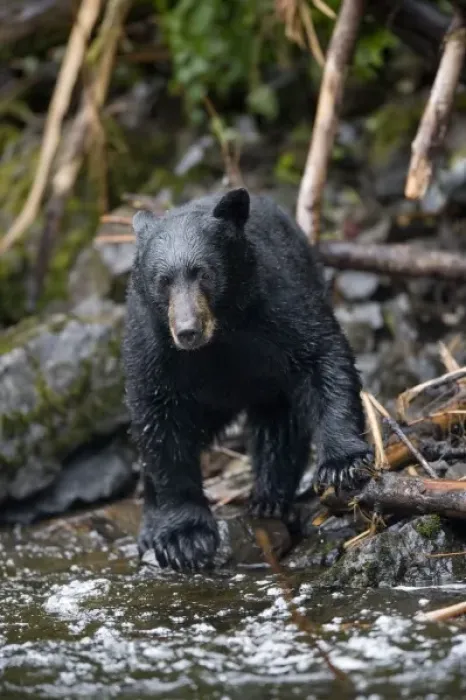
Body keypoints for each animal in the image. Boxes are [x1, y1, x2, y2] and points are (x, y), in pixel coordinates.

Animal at [122, 188, 373, 572]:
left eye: (204, 273)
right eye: (162, 281)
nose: (187, 331)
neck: (221, 337)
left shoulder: (279, 304)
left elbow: (324, 358)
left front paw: (342, 464)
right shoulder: (154, 348)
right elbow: (159, 426)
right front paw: (183, 537)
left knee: (279, 424)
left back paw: (269, 497)